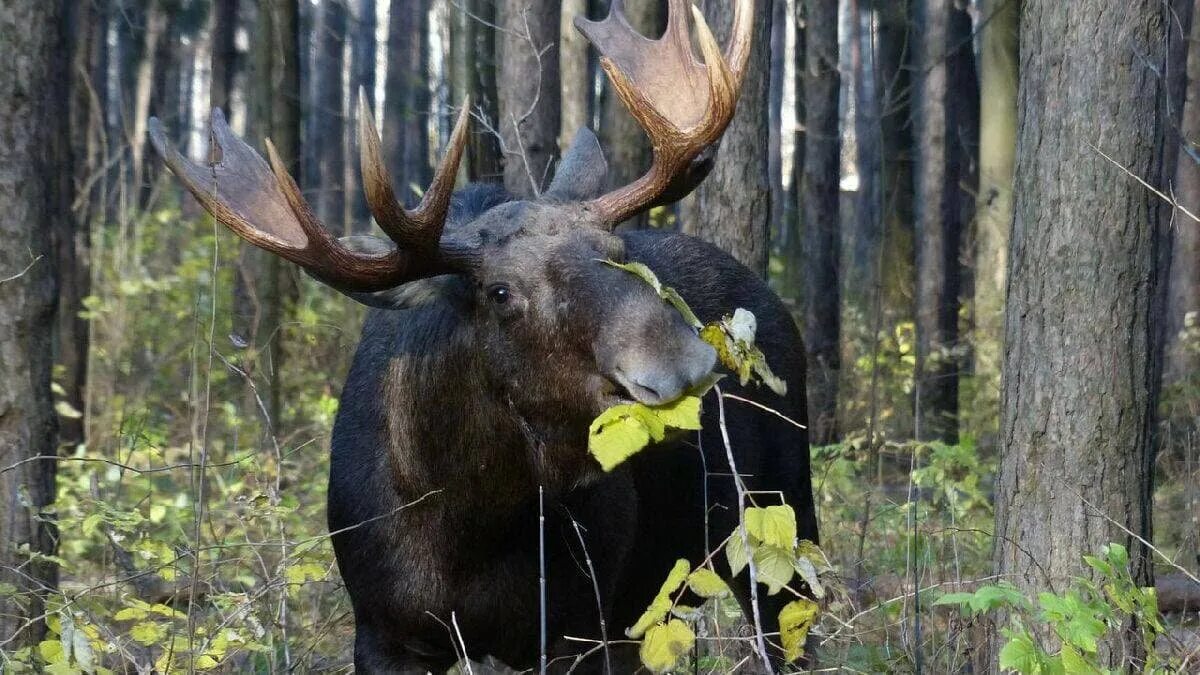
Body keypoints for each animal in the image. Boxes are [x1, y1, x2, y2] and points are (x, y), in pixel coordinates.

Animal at [147, 0, 816, 667]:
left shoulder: (576, 629)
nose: (679, 362)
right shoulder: (384, 632)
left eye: (620, 251)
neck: (468, 521)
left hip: (780, 520)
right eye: (499, 292)